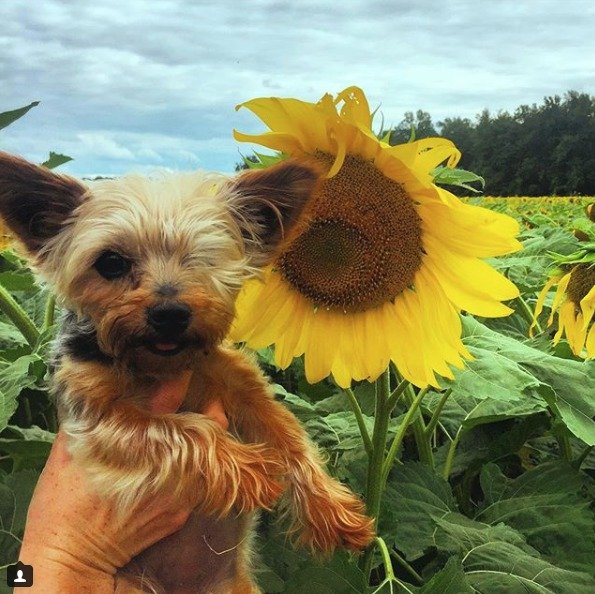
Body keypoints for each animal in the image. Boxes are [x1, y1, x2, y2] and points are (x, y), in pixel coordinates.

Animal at [0, 153, 372, 592]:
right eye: (110, 263)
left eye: (205, 257)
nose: (170, 313)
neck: (157, 366)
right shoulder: (95, 418)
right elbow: (180, 428)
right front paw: (251, 468)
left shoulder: (241, 383)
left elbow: (289, 437)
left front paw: (330, 509)